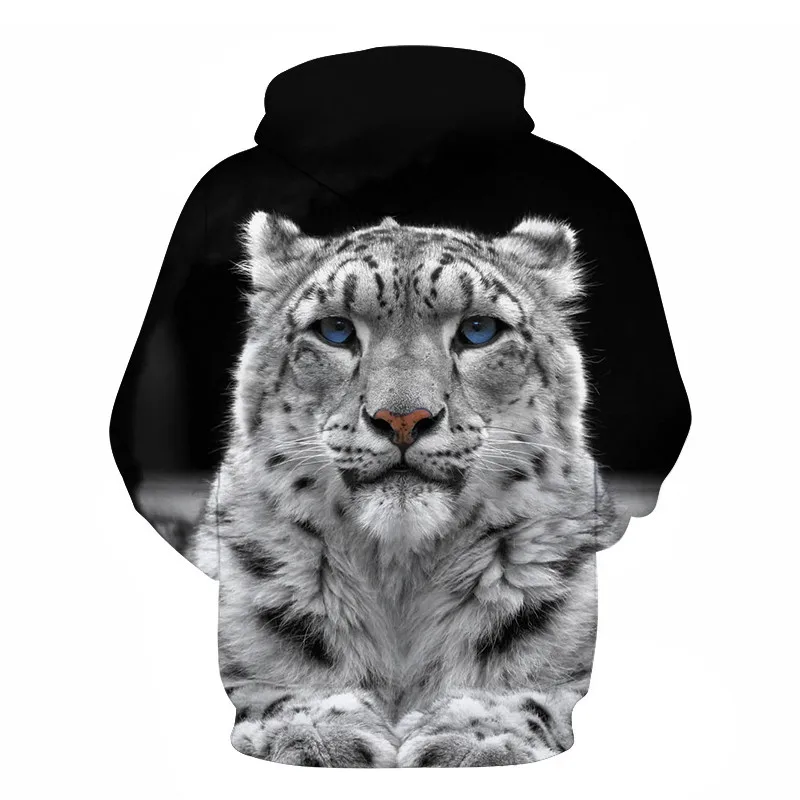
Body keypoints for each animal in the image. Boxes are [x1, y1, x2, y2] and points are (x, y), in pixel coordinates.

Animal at [188, 211, 625, 767]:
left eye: (479, 330)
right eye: (335, 329)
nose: (402, 418)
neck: (401, 576)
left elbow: (542, 689)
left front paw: (480, 736)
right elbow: (263, 684)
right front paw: (314, 730)